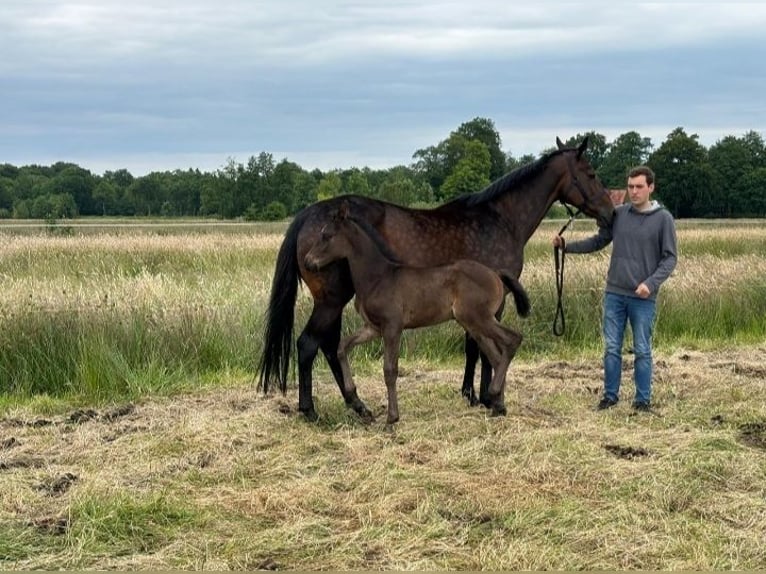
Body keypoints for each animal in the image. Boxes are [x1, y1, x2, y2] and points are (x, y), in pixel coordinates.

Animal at [304, 205, 532, 426]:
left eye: (327, 235)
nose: (307, 262)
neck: (377, 277)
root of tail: (495, 273)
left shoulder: (392, 327)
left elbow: (390, 370)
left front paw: (391, 419)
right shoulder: (373, 328)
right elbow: (342, 347)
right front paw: (353, 397)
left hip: (479, 318)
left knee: (512, 340)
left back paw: (494, 395)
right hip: (473, 324)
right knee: (496, 356)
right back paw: (498, 407)